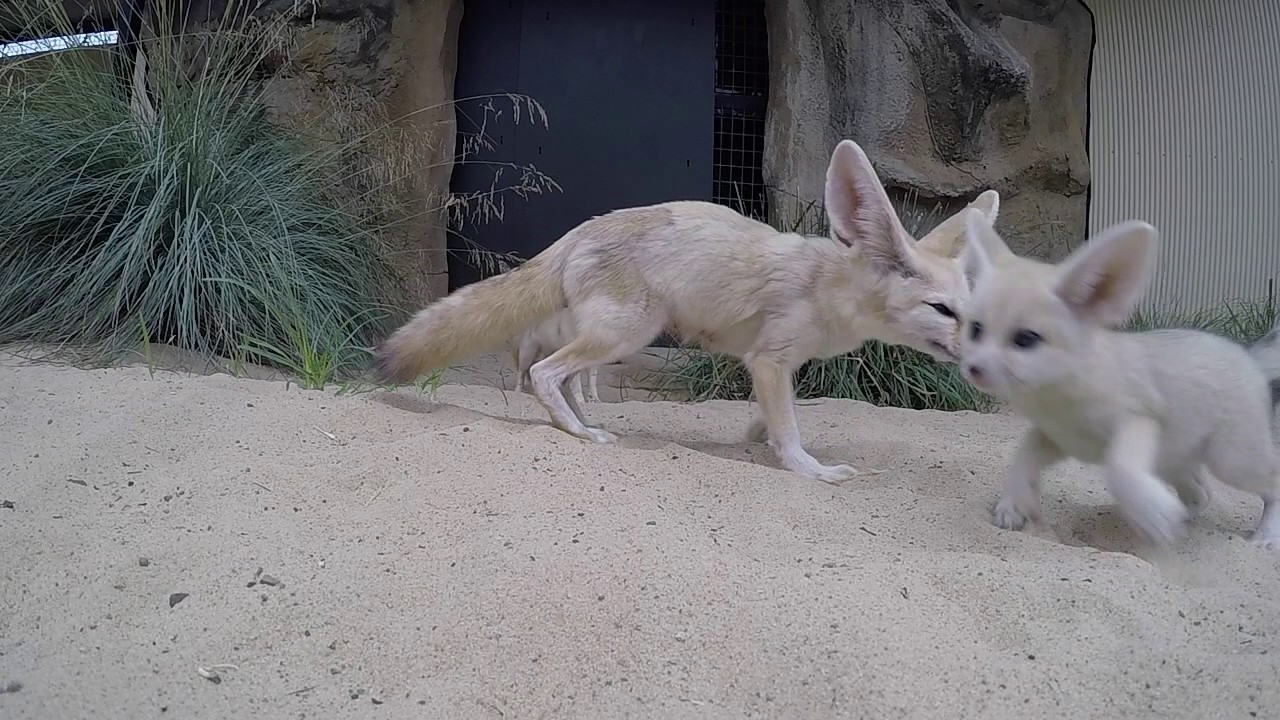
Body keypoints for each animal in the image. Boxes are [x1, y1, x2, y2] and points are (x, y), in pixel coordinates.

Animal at [374, 139, 999, 484]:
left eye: (972, 314)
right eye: (941, 310)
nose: (983, 357)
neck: (826, 284)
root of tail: (574, 233)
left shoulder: (778, 367)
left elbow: (775, 417)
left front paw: (758, 438)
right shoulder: (768, 360)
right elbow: (791, 430)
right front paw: (809, 469)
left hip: (608, 336)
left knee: (559, 377)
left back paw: (578, 423)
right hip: (626, 334)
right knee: (544, 374)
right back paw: (581, 433)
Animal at [957, 210, 1280, 549]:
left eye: (1025, 340)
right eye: (976, 330)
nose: (973, 368)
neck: (1055, 398)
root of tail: (1250, 358)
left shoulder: (1139, 419)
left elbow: (1118, 465)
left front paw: (1151, 512)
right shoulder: (1053, 436)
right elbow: (1022, 458)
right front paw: (1013, 504)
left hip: (1233, 461)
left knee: (1273, 483)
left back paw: (1266, 535)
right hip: (1172, 460)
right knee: (1202, 494)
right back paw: (1180, 520)